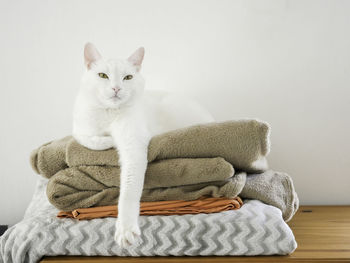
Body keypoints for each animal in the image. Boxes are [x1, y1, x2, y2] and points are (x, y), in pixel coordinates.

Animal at [73, 42, 213, 248]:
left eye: (128, 77)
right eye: (103, 75)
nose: (116, 88)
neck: (110, 114)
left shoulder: (134, 147)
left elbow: (129, 191)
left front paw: (125, 229)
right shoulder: (78, 128)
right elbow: (86, 138)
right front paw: (107, 140)